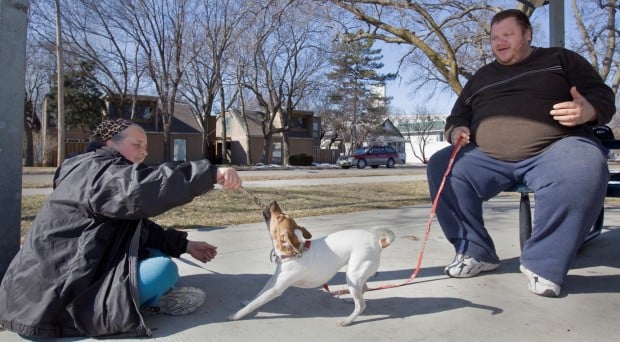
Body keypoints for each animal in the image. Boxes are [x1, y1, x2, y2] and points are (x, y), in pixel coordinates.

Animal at [229, 200, 398, 326]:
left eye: (279, 217)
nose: (273, 202)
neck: (293, 252)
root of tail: (378, 242)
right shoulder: (272, 282)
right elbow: (257, 295)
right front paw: (247, 301)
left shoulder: (275, 289)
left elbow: (256, 303)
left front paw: (236, 315)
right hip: (356, 275)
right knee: (364, 289)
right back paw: (351, 300)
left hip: (353, 275)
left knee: (361, 304)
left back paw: (348, 320)